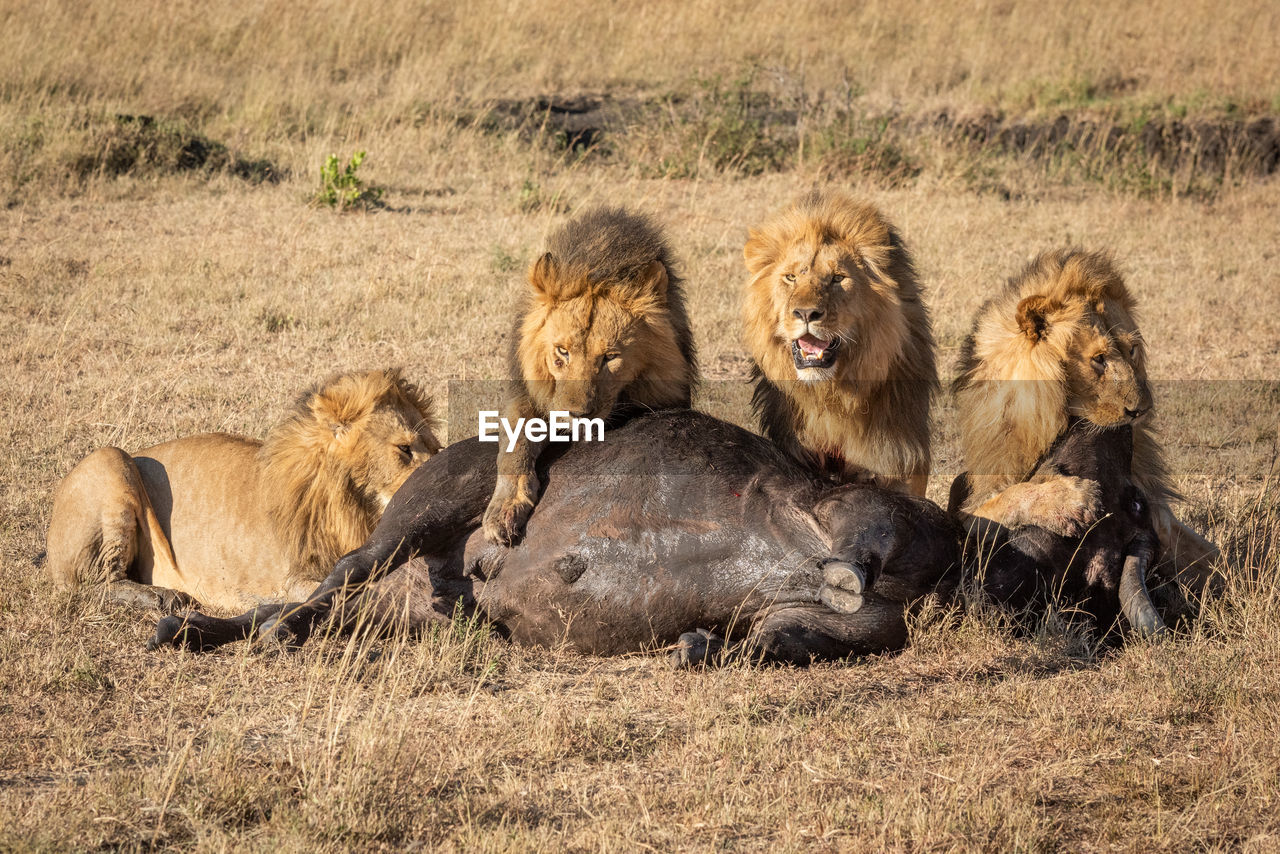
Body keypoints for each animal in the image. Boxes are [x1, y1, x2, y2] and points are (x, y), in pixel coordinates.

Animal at [45, 371, 442, 612]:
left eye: (435, 448)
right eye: (404, 449)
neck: (355, 508)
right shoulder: (294, 581)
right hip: (109, 459)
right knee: (92, 584)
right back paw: (163, 598)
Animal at [481, 204, 701, 547]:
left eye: (609, 357)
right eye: (562, 352)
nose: (578, 415)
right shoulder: (525, 391)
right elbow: (513, 445)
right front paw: (503, 511)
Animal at [952, 250, 1218, 591]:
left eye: (1132, 350)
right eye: (1099, 359)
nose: (1142, 409)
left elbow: (1208, 557)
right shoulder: (970, 510)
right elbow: (1007, 498)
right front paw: (1071, 500)